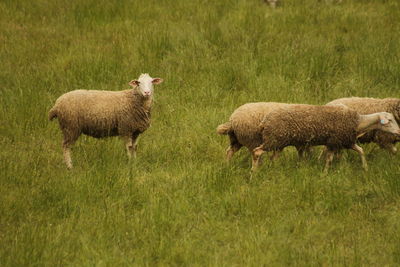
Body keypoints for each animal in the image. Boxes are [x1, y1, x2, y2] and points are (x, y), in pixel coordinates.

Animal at [253, 103, 400, 173]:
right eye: (390, 120)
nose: (399, 132)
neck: (359, 122)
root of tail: (264, 121)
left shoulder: (344, 141)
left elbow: (360, 151)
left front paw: (365, 168)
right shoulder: (335, 142)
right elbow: (329, 159)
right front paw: (325, 173)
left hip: (278, 143)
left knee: (273, 158)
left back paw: (274, 170)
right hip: (273, 140)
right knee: (256, 152)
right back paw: (253, 173)